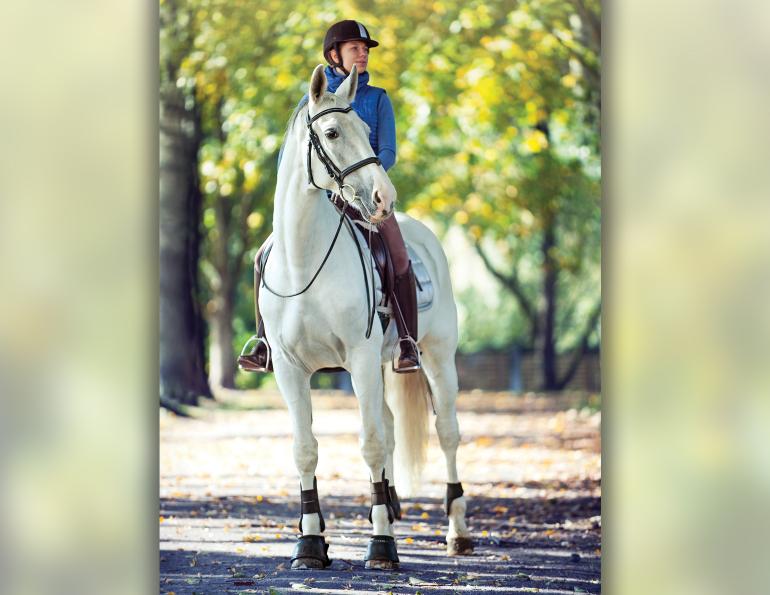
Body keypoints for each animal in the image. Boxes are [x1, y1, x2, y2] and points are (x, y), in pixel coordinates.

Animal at [257, 64, 473, 570]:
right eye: (332, 132)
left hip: (436, 359)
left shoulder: (357, 358)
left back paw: (456, 532)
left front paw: (381, 545)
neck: (304, 262)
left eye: (366, 128)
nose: (382, 197)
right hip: (380, 366)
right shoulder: (291, 370)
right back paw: (389, 507)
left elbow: (370, 443)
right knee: (392, 430)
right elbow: (305, 450)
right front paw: (310, 542)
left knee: (447, 433)